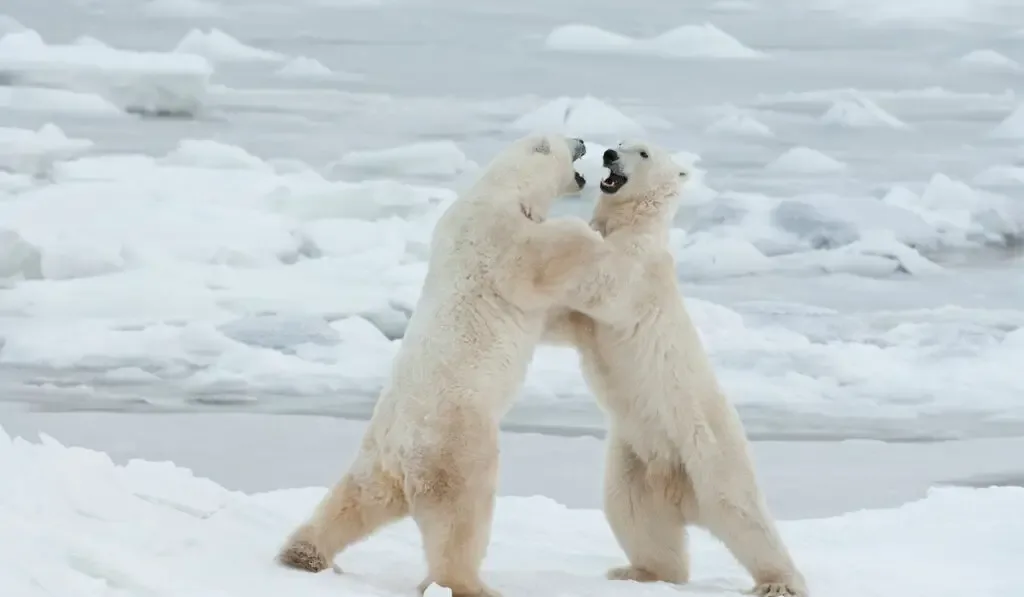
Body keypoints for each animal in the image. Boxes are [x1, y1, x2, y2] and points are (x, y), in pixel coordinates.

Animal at [274, 134, 614, 597]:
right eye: (566, 142)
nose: (582, 141)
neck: (504, 187)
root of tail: (400, 450)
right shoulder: (496, 233)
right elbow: (533, 264)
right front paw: (590, 233)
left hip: (377, 457)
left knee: (355, 499)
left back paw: (304, 553)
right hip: (456, 443)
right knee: (461, 517)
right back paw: (471, 584)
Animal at [544, 141, 806, 597]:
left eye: (643, 152)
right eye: (620, 142)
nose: (609, 154)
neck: (636, 224)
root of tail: (678, 490)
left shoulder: (638, 270)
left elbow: (604, 283)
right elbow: (568, 320)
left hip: (710, 450)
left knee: (744, 516)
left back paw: (779, 582)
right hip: (634, 458)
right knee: (632, 513)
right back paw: (639, 571)